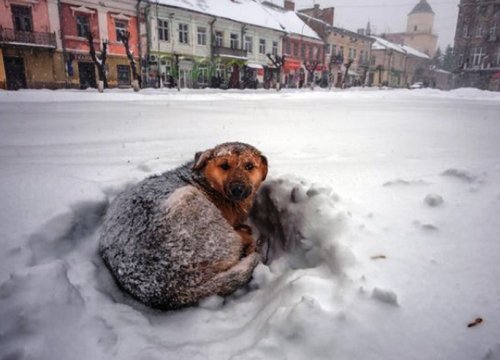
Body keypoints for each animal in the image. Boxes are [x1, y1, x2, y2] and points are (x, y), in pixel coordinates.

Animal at [99, 142, 268, 308]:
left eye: (249, 166)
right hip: (190, 202)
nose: (238, 189)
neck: (206, 182)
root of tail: (174, 291)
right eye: (224, 166)